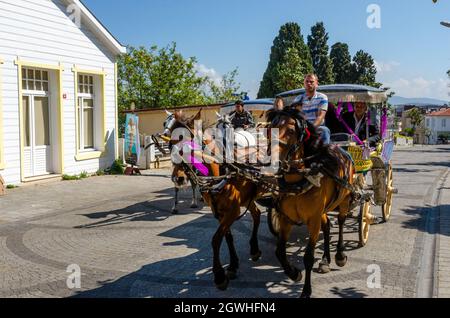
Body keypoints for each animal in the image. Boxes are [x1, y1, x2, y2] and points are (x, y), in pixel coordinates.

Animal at [266, 108, 356, 298]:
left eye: (291, 131)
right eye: (270, 129)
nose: (272, 160)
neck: (300, 180)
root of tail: (342, 151)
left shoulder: (313, 220)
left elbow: (308, 256)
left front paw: (306, 290)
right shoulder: (285, 218)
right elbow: (279, 251)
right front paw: (294, 273)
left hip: (344, 200)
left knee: (341, 221)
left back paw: (339, 255)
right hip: (324, 209)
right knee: (327, 226)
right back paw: (325, 260)